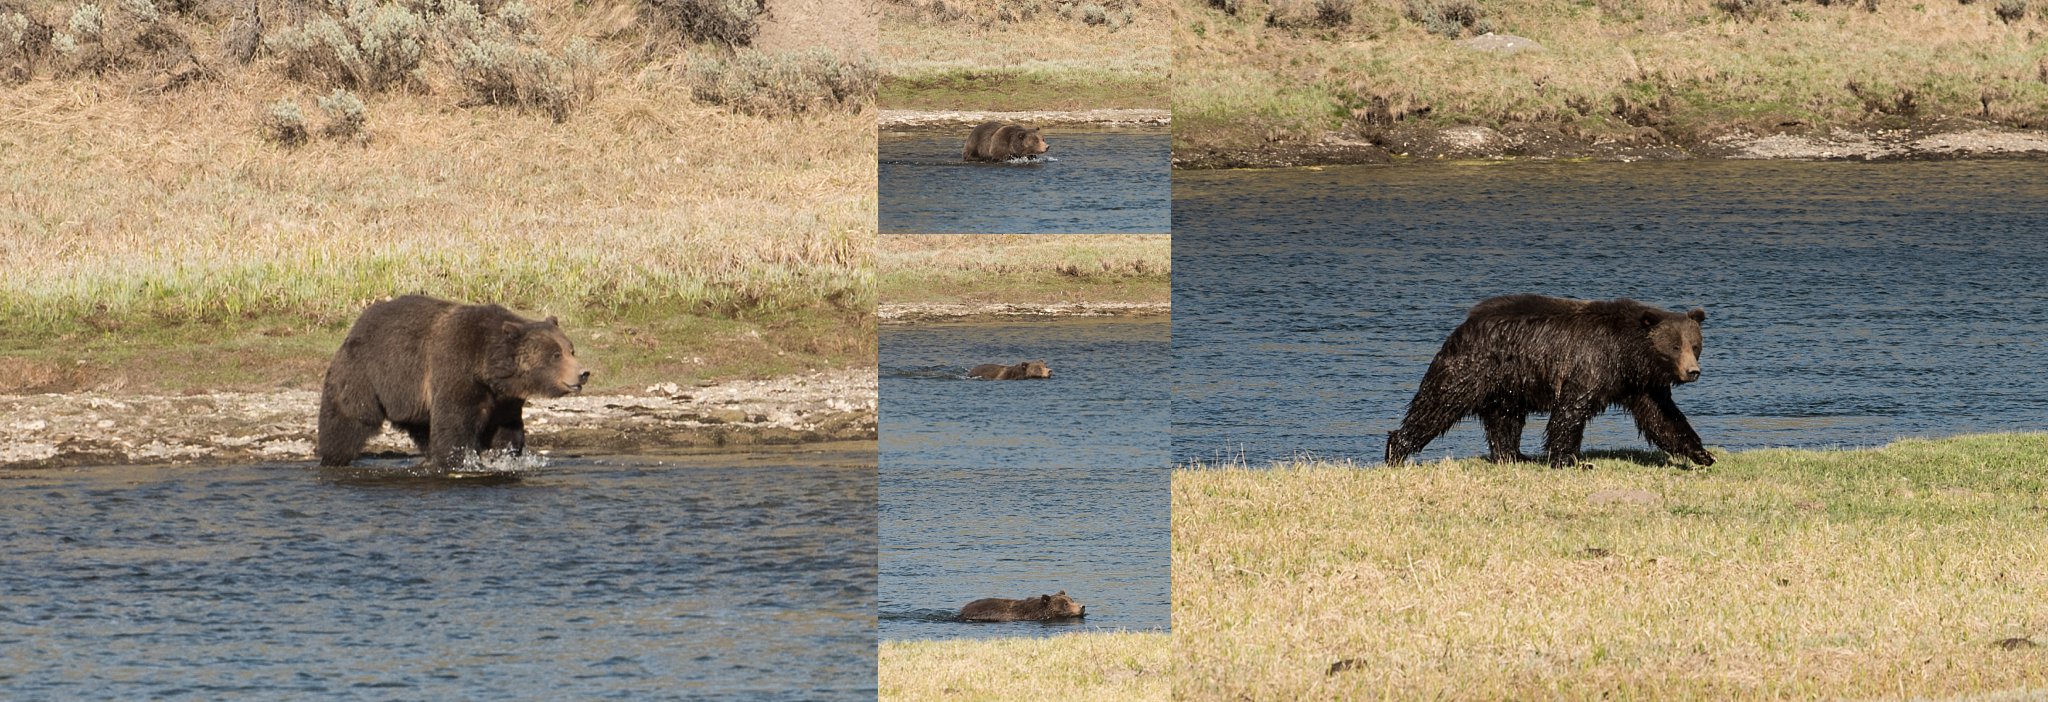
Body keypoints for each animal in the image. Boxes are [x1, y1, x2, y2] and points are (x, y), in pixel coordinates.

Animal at [317, 294, 593, 470]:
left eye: (570, 349)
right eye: (555, 354)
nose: (583, 373)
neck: (487, 367)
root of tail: (355, 326)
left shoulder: (504, 398)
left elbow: (507, 429)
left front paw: (504, 456)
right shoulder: (456, 371)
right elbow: (454, 424)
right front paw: (457, 460)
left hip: (411, 397)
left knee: (422, 428)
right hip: (367, 374)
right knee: (349, 417)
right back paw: (333, 456)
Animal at [1384, 294, 1720, 470]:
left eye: (1695, 345)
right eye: (1674, 346)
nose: (1693, 371)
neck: (1626, 356)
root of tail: (1464, 323)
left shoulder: (1640, 385)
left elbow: (1663, 418)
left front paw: (1703, 454)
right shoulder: (1589, 365)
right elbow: (1570, 412)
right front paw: (1569, 460)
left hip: (1509, 384)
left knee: (1505, 419)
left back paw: (1514, 456)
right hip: (1472, 368)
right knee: (1437, 404)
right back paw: (1396, 450)